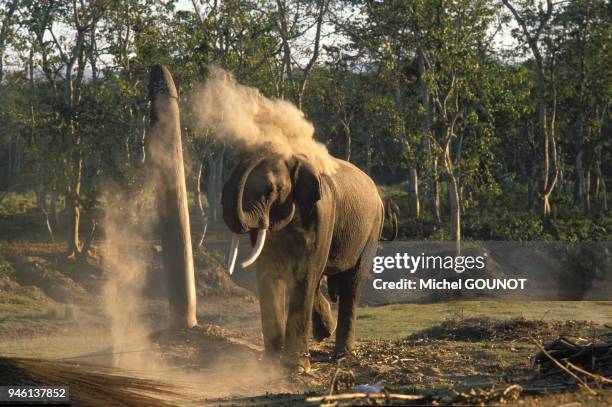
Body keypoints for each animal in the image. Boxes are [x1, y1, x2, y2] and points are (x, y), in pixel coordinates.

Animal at [220, 148, 382, 372]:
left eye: (272, 190)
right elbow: (267, 271)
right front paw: (269, 362)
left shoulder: (322, 213)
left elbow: (305, 273)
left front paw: (297, 366)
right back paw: (326, 331)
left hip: (372, 230)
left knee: (351, 282)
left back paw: (342, 354)